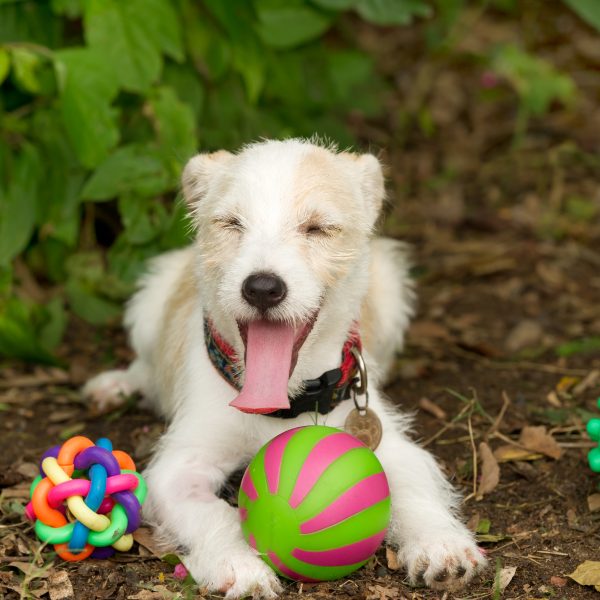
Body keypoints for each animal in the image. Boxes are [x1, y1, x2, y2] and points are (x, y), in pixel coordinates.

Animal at [84, 139, 486, 596]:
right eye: (231, 224)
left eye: (317, 228)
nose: (262, 287)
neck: (284, 401)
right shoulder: (178, 469)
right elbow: (212, 515)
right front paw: (238, 565)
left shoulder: (392, 448)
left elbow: (418, 491)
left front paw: (442, 545)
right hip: (150, 303)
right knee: (145, 367)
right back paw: (116, 385)